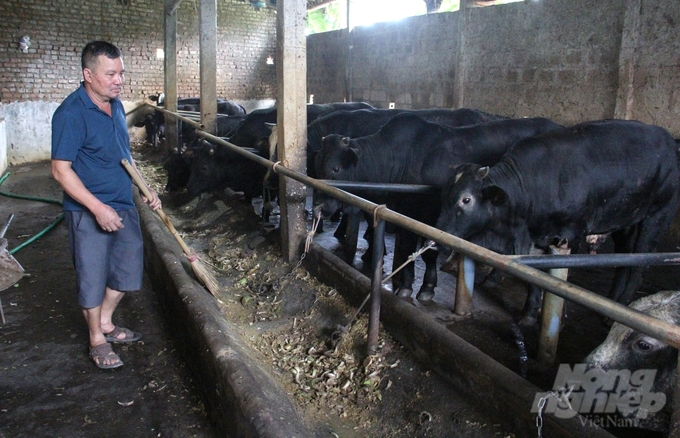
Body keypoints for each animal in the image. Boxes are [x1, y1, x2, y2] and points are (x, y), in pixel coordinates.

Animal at [316, 113, 560, 302]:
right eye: (317, 164)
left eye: (336, 168)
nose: (319, 206)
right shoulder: (403, 215)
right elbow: (406, 247)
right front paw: (404, 284)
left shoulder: (431, 218)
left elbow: (429, 253)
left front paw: (425, 287)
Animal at [436, 120, 680, 326]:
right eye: (446, 192)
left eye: (466, 199)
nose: (439, 233)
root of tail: (668, 140)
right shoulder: (535, 237)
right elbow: (535, 273)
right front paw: (529, 313)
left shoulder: (573, 235)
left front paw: (556, 315)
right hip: (624, 219)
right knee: (624, 257)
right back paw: (612, 302)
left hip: (659, 213)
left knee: (640, 262)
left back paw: (618, 311)